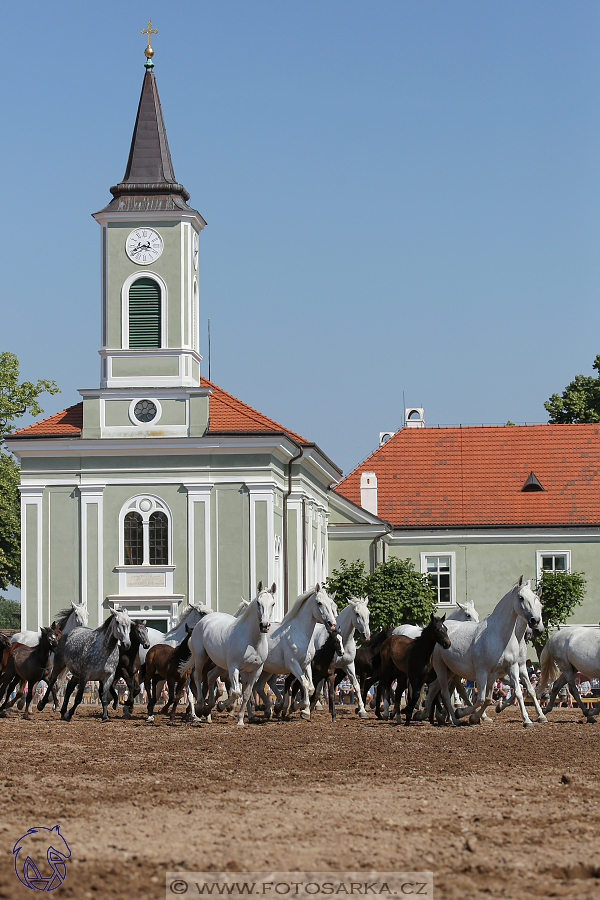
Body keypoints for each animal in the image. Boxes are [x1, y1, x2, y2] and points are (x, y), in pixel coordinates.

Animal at [189, 584, 278, 724]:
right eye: (258, 603)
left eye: (273, 603)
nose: (264, 625)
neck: (252, 641)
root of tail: (203, 621)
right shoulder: (234, 667)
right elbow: (236, 692)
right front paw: (221, 706)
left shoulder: (256, 670)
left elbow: (246, 694)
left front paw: (240, 719)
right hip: (200, 656)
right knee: (197, 676)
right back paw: (200, 707)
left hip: (220, 664)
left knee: (210, 676)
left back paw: (208, 708)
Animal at [253, 584, 340, 724]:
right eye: (319, 603)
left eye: (332, 604)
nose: (332, 624)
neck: (298, 633)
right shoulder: (293, 664)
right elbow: (304, 684)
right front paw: (299, 709)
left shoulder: (306, 664)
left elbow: (310, 688)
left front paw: (300, 709)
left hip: (267, 670)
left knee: (259, 687)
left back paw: (271, 710)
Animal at [426, 576, 544, 732]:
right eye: (521, 597)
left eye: (537, 601)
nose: (535, 622)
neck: (499, 636)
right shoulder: (483, 672)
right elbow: (482, 698)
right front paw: (466, 714)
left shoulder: (513, 667)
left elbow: (518, 692)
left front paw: (528, 720)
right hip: (440, 667)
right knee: (445, 693)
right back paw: (454, 717)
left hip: (451, 670)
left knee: (439, 688)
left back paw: (435, 715)